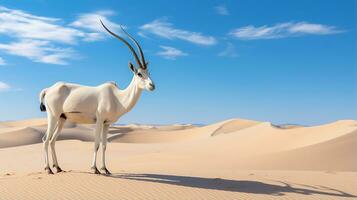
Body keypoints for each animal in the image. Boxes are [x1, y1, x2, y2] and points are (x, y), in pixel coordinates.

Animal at [39, 19, 154, 174]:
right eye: (139, 74)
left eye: (149, 72)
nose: (152, 85)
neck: (117, 97)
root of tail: (48, 89)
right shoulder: (99, 120)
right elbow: (96, 144)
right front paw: (94, 169)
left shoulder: (107, 123)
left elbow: (105, 145)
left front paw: (105, 169)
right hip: (53, 116)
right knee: (45, 140)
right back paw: (48, 169)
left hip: (62, 119)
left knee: (52, 141)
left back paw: (58, 167)